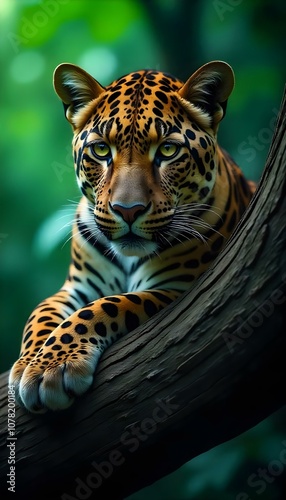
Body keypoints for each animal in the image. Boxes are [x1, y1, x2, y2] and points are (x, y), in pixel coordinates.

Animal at [8, 60, 255, 412]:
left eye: (168, 150)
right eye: (101, 150)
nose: (127, 210)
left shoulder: (178, 288)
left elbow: (107, 306)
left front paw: (52, 366)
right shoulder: (77, 286)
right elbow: (40, 312)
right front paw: (32, 361)